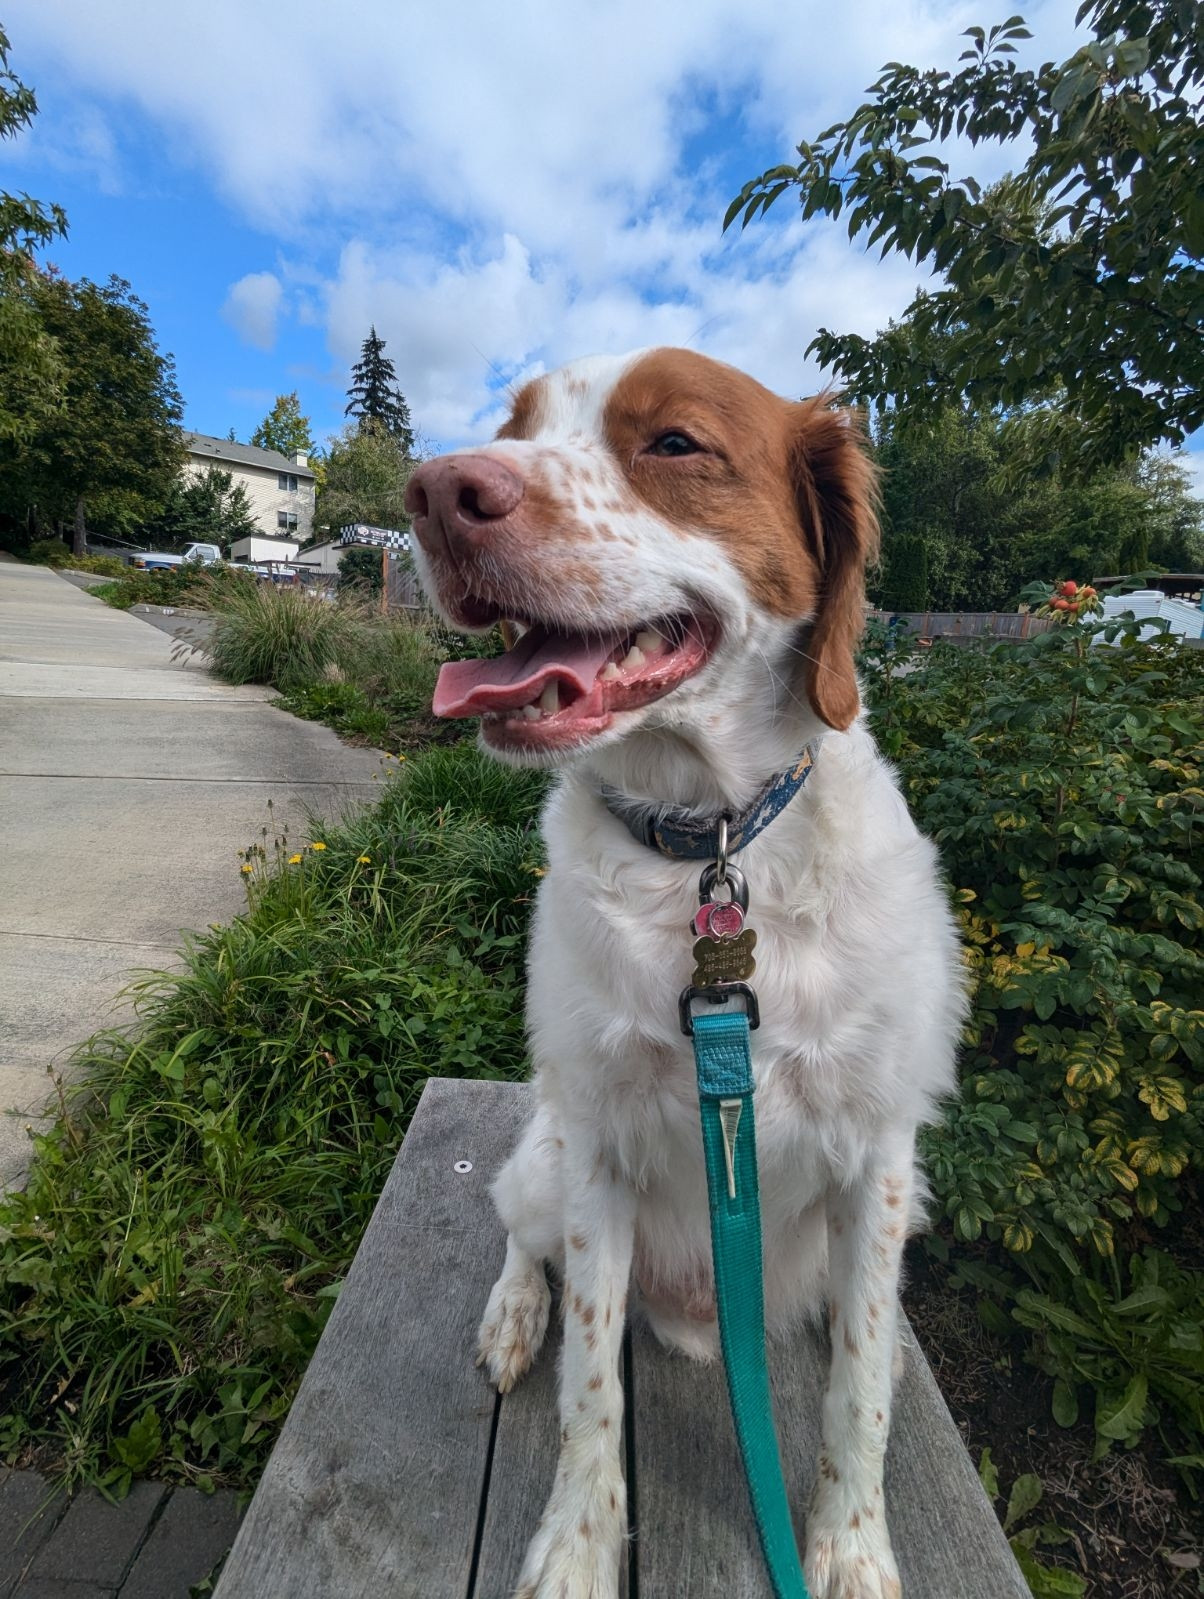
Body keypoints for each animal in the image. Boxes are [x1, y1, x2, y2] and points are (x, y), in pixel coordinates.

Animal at [409, 353, 965, 1599]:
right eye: (512, 427)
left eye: (673, 443)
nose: (434, 488)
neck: (707, 842)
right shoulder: (598, 1153)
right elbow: (589, 1392)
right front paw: (573, 1550)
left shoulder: (881, 1164)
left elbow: (860, 1390)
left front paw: (850, 1551)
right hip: (546, 1157)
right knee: (519, 1234)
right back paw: (512, 1316)